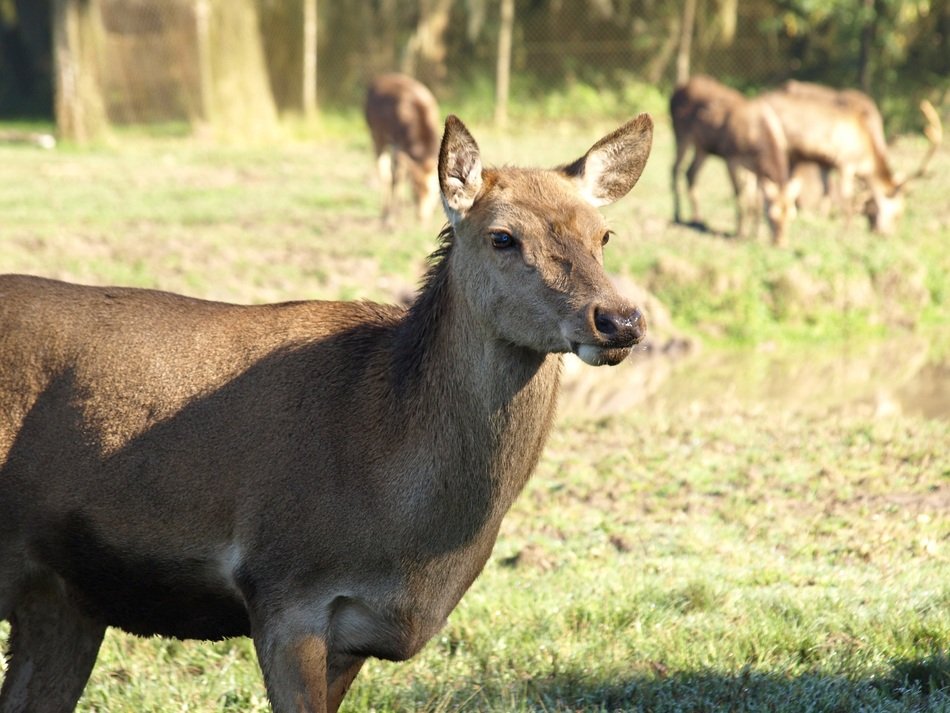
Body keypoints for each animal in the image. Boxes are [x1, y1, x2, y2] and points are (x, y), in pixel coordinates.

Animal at [0, 113, 653, 713]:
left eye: (604, 234)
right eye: (501, 237)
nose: (619, 318)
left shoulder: (355, 633)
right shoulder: (283, 587)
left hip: (62, 599)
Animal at [364, 73, 441, 225]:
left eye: (434, 193)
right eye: (414, 191)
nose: (421, 217)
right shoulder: (398, 144)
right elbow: (397, 178)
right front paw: (391, 217)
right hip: (376, 134)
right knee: (385, 173)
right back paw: (384, 213)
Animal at [670, 75, 798, 245]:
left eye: (792, 215)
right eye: (772, 215)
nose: (781, 243)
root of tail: (677, 89)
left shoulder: (754, 169)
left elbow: (755, 201)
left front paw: (756, 235)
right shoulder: (732, 159)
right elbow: (740, 196)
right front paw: (740, 233)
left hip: (702, 147)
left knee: (691, 173)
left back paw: (697, 217)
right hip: (681, 134)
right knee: (675, 169)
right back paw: (677, 215)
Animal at [763, 82, 942, 234]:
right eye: (898, 214)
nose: (884, 234)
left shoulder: (826, 162)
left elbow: (826, 191)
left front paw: (823, 219)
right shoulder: (845, 161)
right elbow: (846, 195)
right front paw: (846, 228)